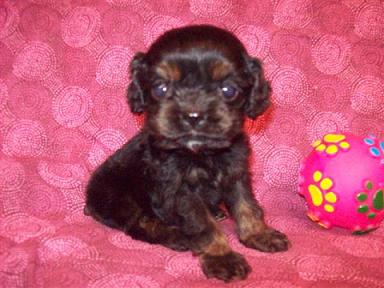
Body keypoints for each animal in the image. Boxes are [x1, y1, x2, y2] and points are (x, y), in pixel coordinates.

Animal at [85, 24, 290, 282]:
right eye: (160, 88)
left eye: (228, 90)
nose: (193, 116)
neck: (201, 153)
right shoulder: (180, 190)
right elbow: (203, 223)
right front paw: (222, 257)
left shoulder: (236, 173)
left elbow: (247, 206)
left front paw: (259, 235)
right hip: (119, 197)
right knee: (140, 225)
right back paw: (177, 237)